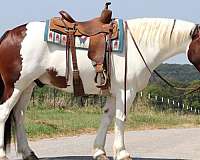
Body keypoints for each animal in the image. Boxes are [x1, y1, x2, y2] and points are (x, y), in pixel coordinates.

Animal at [0, 17, 198, 160]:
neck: (138, 46)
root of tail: (10, 33)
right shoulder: (126, 92)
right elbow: (120, 118)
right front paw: (122, 153)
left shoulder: (113, 93)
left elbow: (107, 117)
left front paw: (99, 152)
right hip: (15, 86)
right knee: (4, 112)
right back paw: (3, 155)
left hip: (28, 87)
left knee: (19, 115)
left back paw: (29, 153)